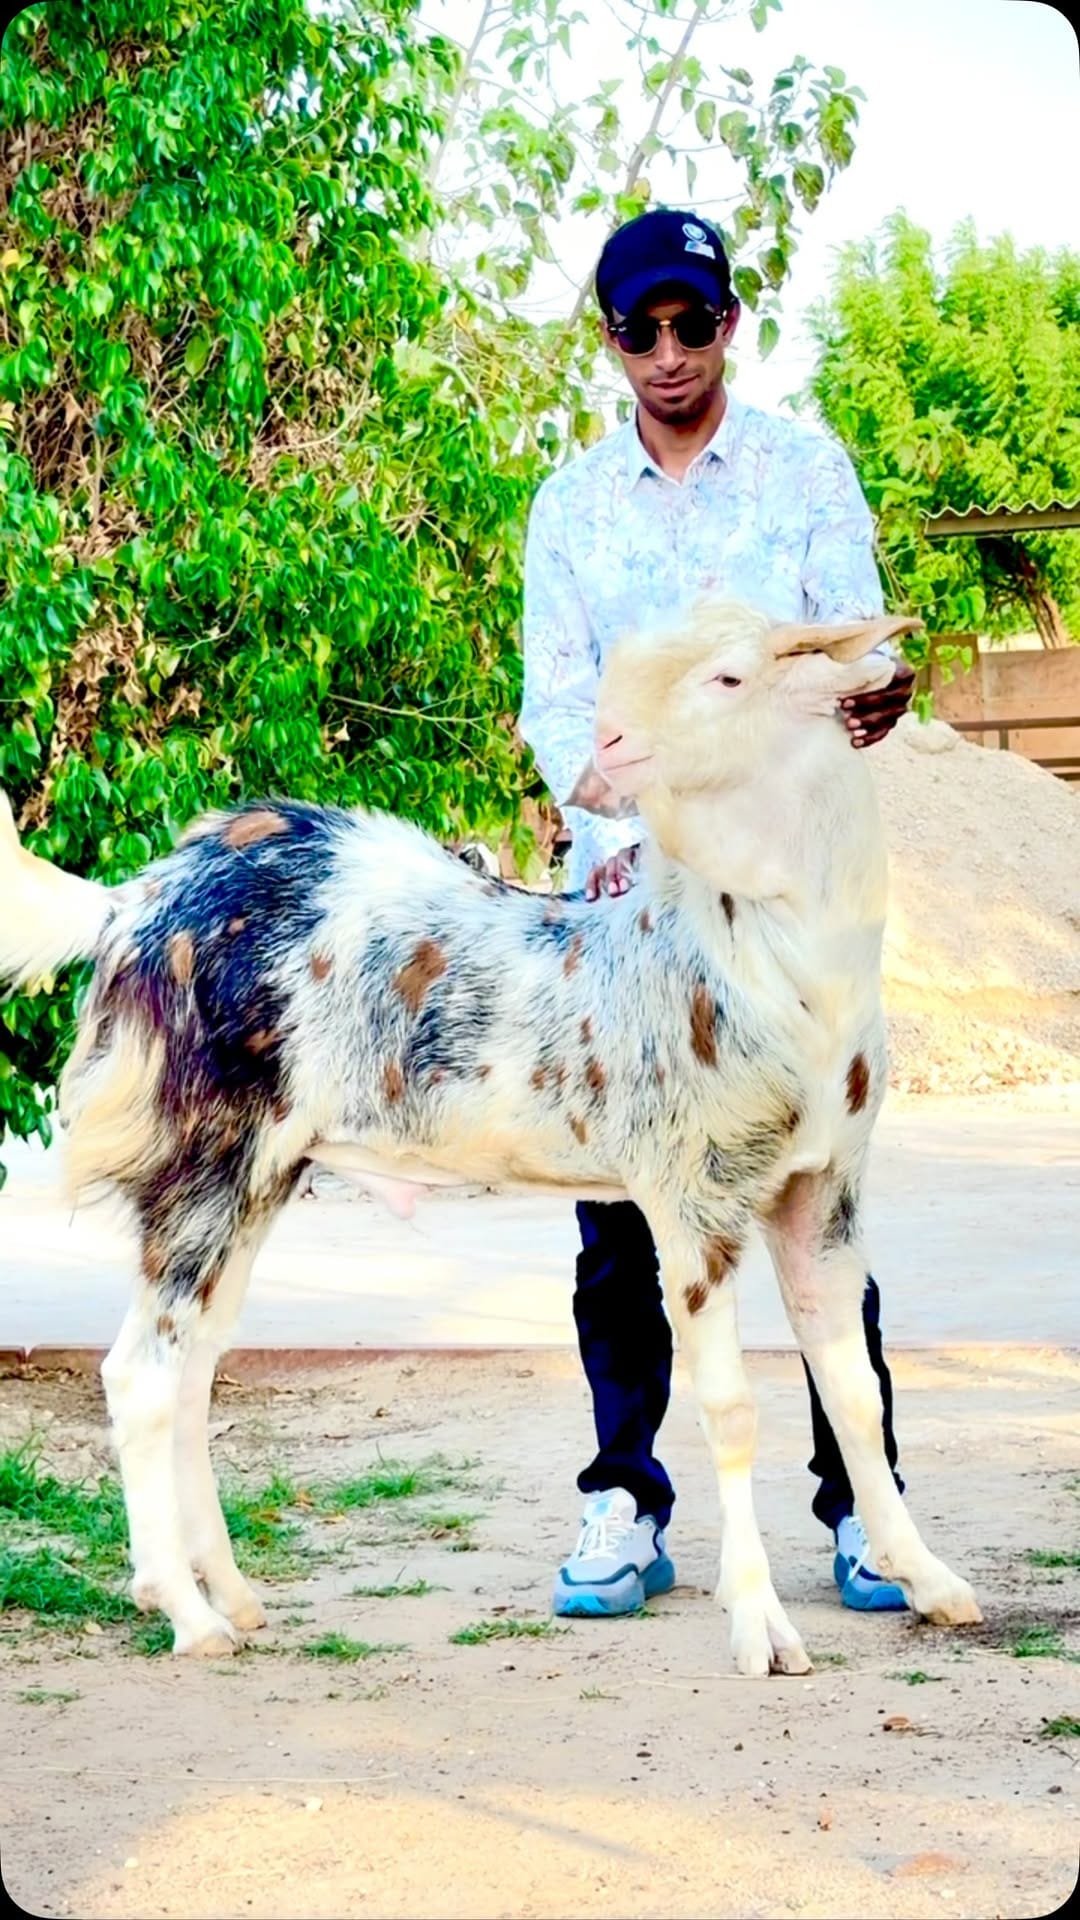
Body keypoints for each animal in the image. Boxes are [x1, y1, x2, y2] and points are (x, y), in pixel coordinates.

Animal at [0, 599, 982, 1673]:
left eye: (728, 678)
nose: (611, 745)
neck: (774, 966)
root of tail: (131, 904)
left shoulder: (822, 1191)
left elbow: (856, 1392)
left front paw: (927, 1582)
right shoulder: (694, 1195)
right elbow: (730, 1412)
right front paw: (761, 1628)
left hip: (263, 1169)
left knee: (195, 1366)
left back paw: (233, 1592)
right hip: (202, 1157)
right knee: (140, 1372)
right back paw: (186, 1612)